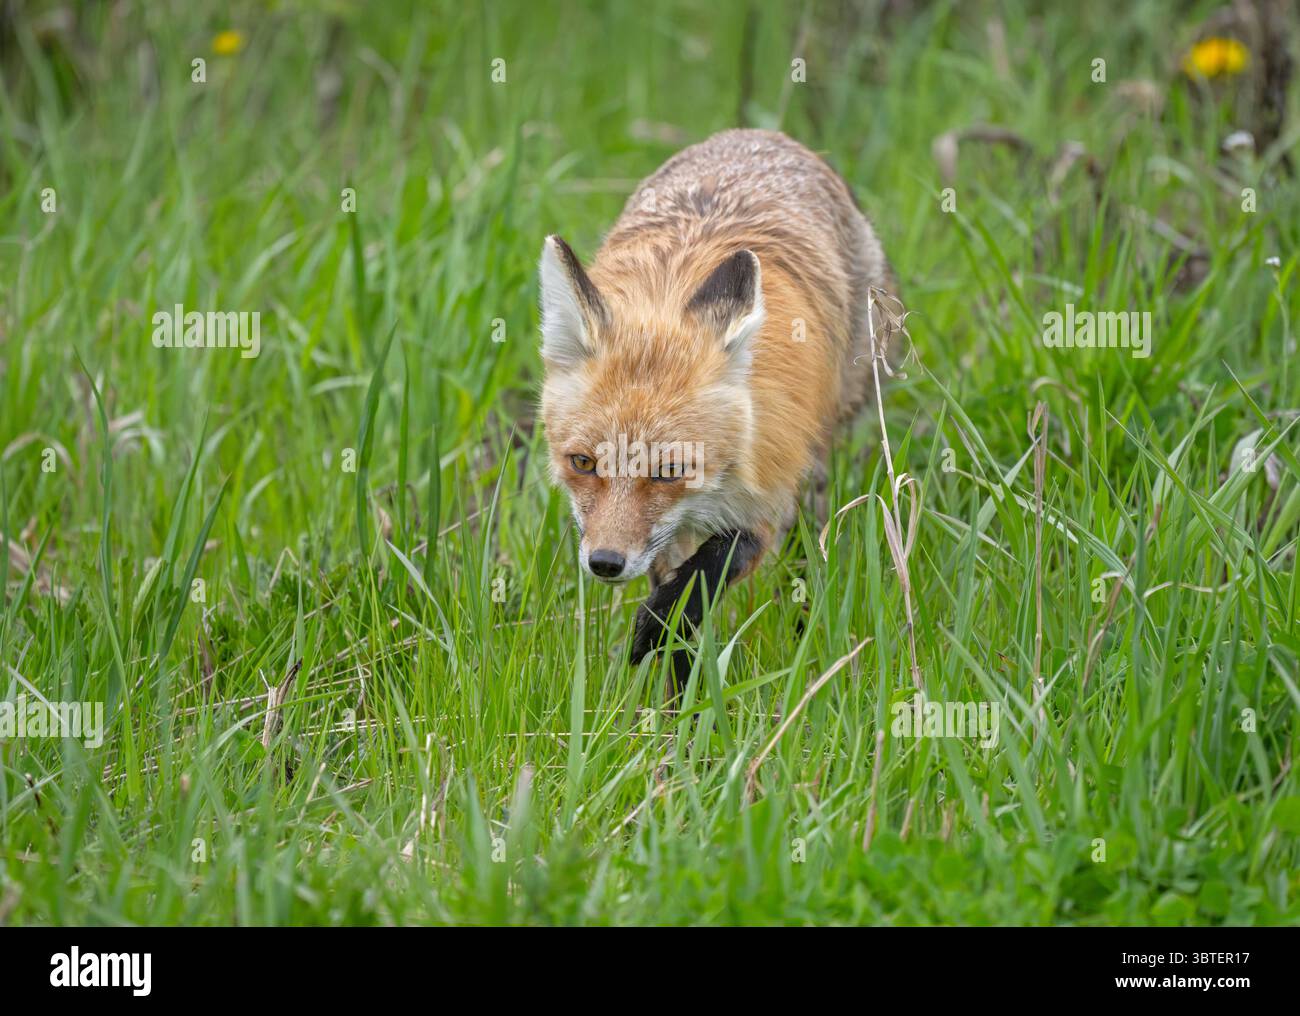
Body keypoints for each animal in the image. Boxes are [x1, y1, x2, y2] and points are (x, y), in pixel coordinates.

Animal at [538, 129, 897, 678]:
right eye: (582, 463)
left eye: (670, 470)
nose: (605, 562)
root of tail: (761, 135)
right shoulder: (666, 538)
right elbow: (680, 620)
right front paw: (676, 692)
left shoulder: (765, 493)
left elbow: (715, 566)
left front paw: (655, 627)